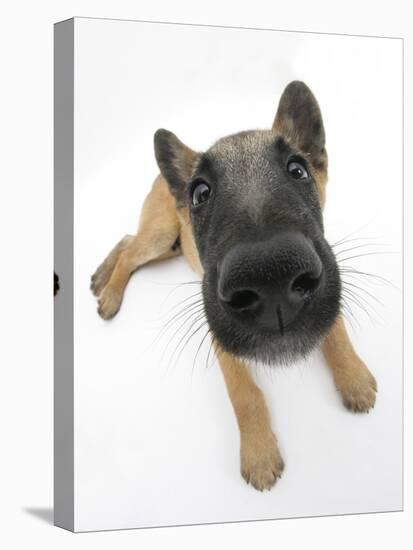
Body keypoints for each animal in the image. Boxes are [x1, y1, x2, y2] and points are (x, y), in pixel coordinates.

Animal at [91, 81, 376, 492]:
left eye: (298, 170)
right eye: (200, 193)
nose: (271, 277)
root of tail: (162, 179)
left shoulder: (330, 282)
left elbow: (336, 332)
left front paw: (353, 377)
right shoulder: (221, 338)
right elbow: (245, 394)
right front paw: (259, 451)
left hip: (171, 245)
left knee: (128, 239)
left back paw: (102, 276)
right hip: (162, 236)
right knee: (132, 251)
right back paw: (110, 292)